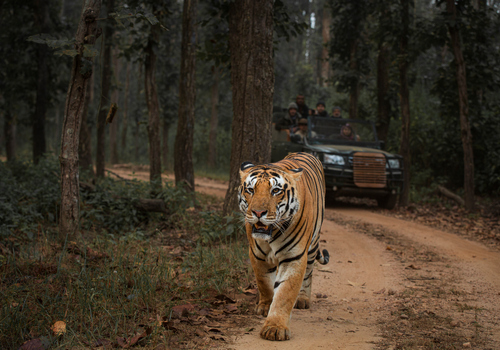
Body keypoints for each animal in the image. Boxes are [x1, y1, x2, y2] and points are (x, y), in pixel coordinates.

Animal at [237, 152, 328, 340]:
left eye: (275, 191)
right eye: (250, 190)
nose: (258, 213)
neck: (271, 235)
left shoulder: (293, 257)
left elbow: (285, 293)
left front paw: (275, 327)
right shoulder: (257, 255)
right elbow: (264, 282)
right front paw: (265, 306)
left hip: (313, 245)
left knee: (309, 273)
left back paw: (303, 299)